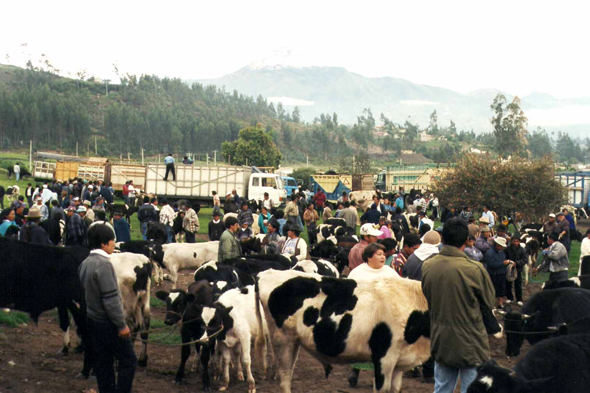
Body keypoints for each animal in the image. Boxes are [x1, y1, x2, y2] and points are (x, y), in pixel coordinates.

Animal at [256, 270, 432, 392]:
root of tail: (268, 272)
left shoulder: (399, 362)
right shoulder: (384, 357)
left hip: (294, 342)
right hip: (282, 340)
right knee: (284, 378)